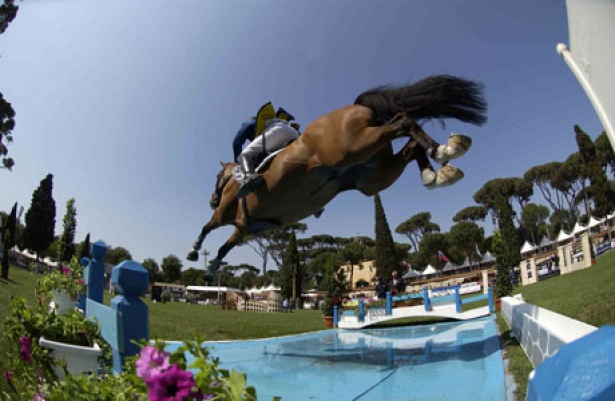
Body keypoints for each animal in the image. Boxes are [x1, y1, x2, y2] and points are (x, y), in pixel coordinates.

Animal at [186, 74, 486, 272]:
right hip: (373, 176)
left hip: (354, 147)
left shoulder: (226, 215)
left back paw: (443, 152)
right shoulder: (244, 229)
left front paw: (194, 252)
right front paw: (212, 265)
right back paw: (440, 165)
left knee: (402, 120)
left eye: (217, 180)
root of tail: (357, 106)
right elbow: (225, 246)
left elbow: (207, 227)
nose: (211, 199)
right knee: (410, 143)